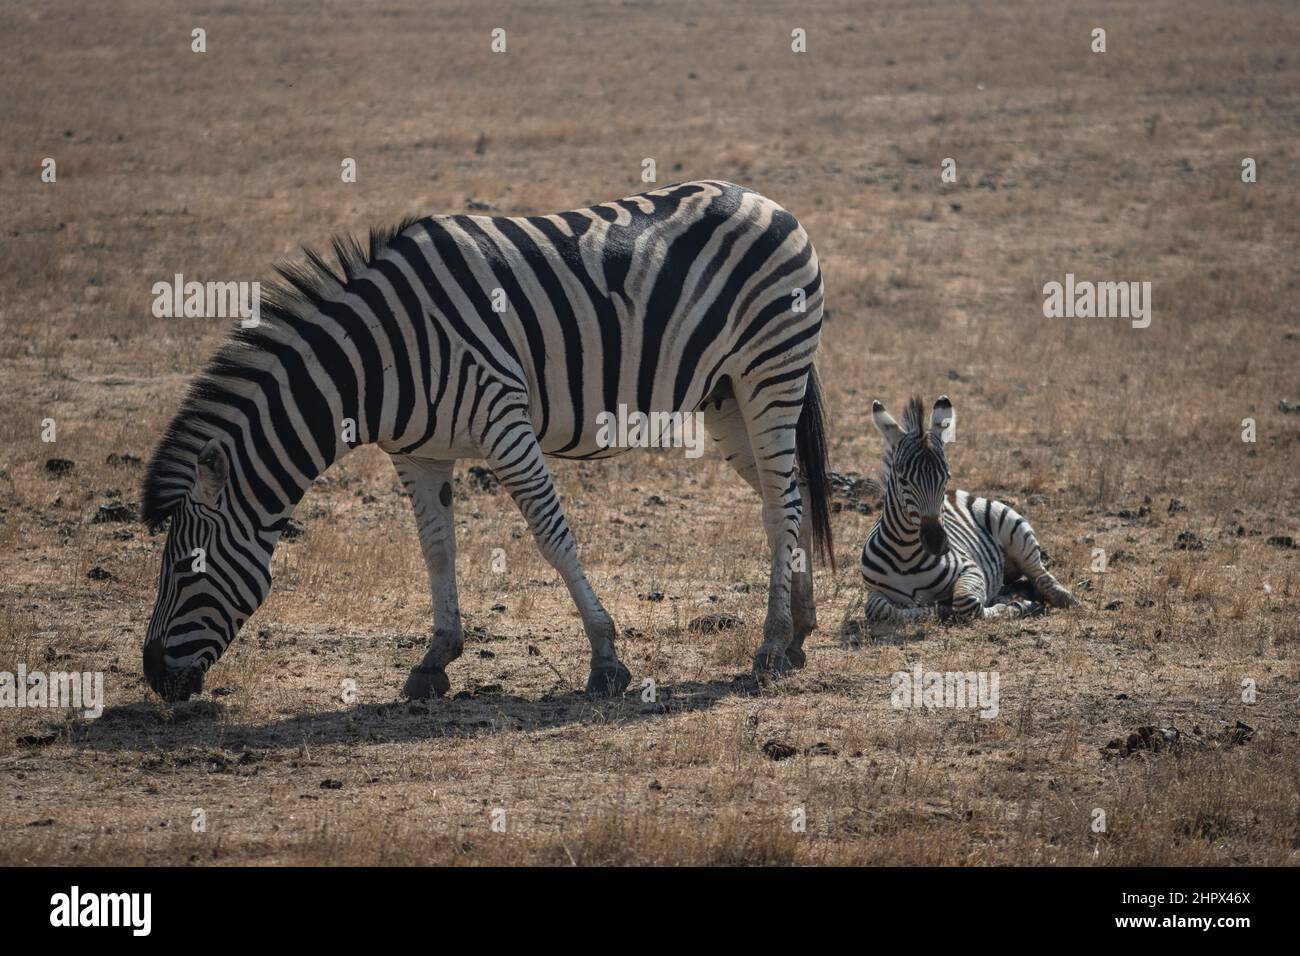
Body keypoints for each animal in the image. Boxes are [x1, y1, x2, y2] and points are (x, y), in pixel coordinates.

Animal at [141, 180, 833, 702]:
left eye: (184, 567)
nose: (151, 677)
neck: (378, 360)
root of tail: (764, 198)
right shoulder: (418, 453)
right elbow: (436, 549)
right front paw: (434, 659)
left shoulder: (504, 420)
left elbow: (552, 537)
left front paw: (606, 659)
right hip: (726, 397)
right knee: (789, 496)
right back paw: (799, 630)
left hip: (769, 372)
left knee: (778, 505)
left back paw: (771, 644)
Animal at [859, 395, 1077, 637]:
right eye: (902, 479)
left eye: (946, 476)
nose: (937, 543)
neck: (906, 556)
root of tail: (958, 493)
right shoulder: (873, 591)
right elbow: (878, 608)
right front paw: (934, 609)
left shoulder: (971, 569)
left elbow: (967, 602)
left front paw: (1012, 607)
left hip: (1015, 530)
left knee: (1041, 576)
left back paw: (1058, 598)